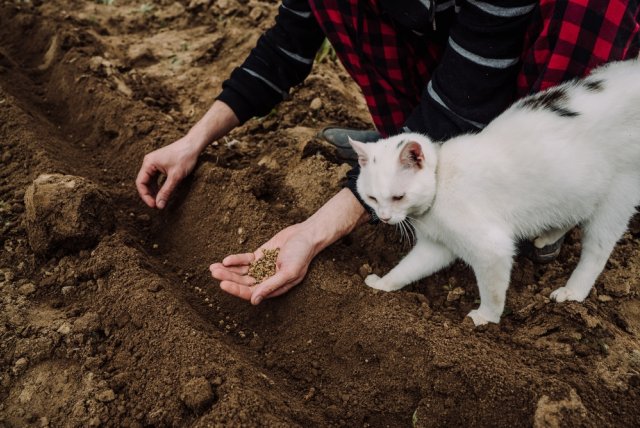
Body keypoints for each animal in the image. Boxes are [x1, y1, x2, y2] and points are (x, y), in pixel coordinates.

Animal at [350, 56, 640, 324]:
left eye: (398, 197)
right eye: (372, 198)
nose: (385, 217)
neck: (439, 181)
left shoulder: (492, 247)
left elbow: (492, 290)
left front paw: (484, 318)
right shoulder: (437, 246)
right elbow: (408, 268)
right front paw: (383, 284)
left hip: (617, 195)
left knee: (597, 251)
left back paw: (573, 292)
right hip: (578, 189)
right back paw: (549, 236)